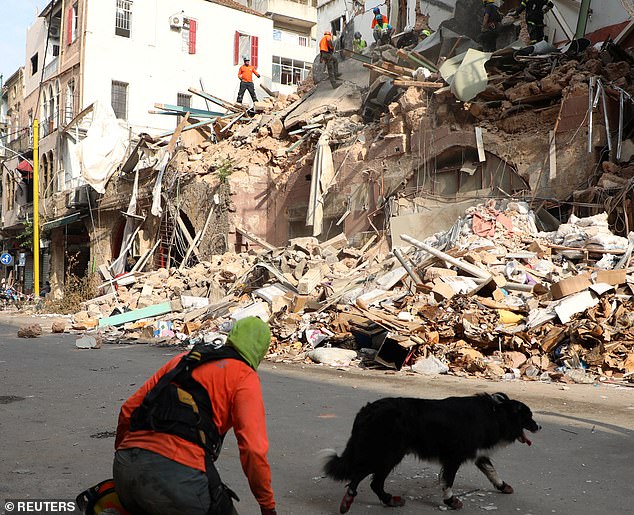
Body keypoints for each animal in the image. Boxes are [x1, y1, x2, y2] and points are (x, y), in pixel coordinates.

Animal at [326, 396, 540, 512]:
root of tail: (367, 409)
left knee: (373, 481)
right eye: (528, 416)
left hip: (388, 454)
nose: (539, 426)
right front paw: (451, 501)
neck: (496, 413)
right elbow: (449, 481)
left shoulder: (477, 453)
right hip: (387, 453)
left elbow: (491, 471)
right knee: (362, 477)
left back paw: (390, 500)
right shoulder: (455, 457)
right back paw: (348, 502)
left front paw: (503, 486)